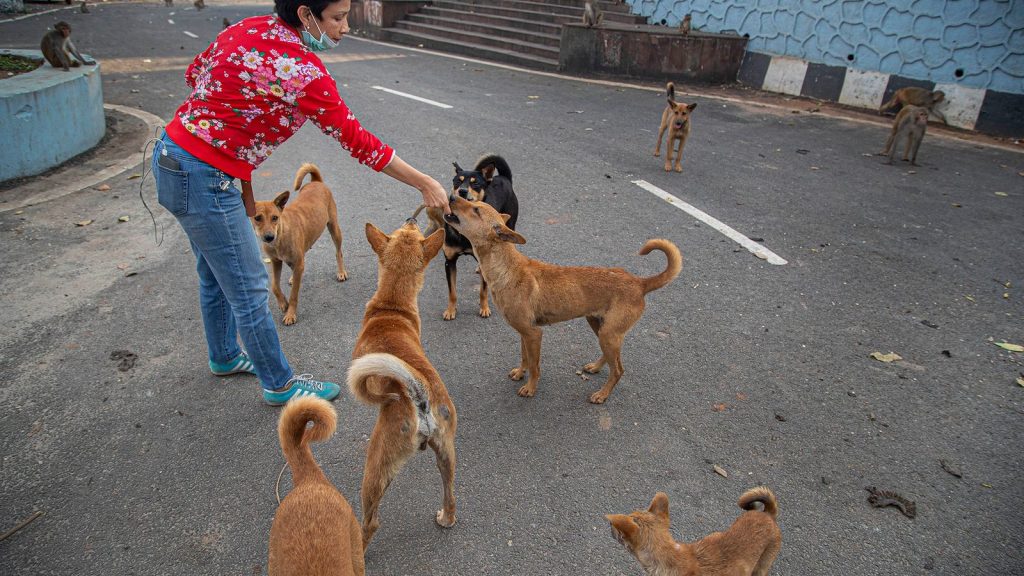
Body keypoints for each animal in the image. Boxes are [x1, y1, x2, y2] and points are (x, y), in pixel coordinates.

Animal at [251, 161, 348, 323]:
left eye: (275, 217)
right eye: (257, 218)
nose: (269, 237)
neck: (280, 235)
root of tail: (316, 181)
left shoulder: (296, 262)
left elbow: (294, 294)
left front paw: (290, 314)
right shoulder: (276, 261)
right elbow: (274, 285)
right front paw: (283, 303)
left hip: (334, 228)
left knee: (338, 252)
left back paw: (341, 272)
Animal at [409, 154, 520, 319]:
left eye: (475, 183)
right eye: (457, 181)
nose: (461, 191)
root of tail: (503, 177)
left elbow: (483, 290)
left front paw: (484, 308)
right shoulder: (449, 262)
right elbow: (452, 292)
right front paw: (450, 310)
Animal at [444, 194, 684, 401]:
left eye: (476, 209)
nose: (452, 196)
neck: (506, 268)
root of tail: (639, 282)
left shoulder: (533, 333)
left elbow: (535, 366)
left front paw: (530, 388)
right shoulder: (524, 333)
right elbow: (524, 357)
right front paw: (520, 373)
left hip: (609, 334)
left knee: (618, 369)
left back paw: (602, 395)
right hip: (599, 326)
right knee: (611, 359)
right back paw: (595, 367)